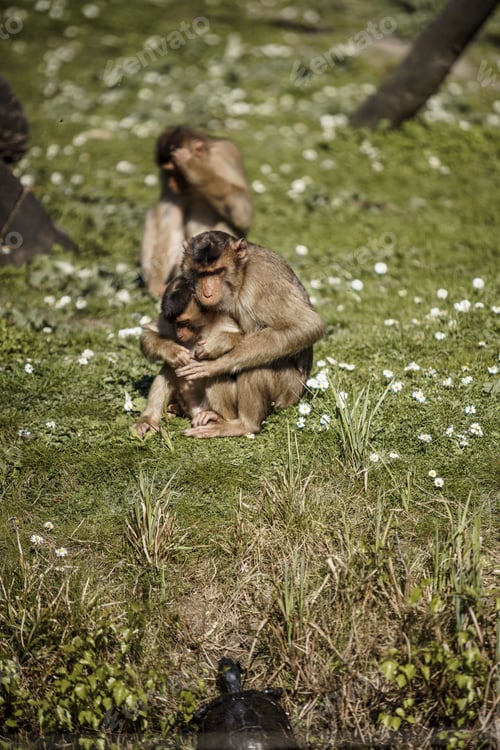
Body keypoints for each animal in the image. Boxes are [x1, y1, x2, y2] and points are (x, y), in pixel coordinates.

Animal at [134, 275, 242, 437]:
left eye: (184, 322)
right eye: (176, 324)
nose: (179, 334)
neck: (204, 325)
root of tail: (195, 409)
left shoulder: (226, 316)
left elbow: (245, 337)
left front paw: (214, 345)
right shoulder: (165, 319)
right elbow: (148, 333)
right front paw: (174, 352)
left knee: (218, 373)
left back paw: (218, 418)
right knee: (169, 369)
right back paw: (149, 420)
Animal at [140, 126, 252, 298]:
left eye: (177, 173)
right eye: (168, 173)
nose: (172, 183)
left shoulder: (226, 154)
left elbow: (242, 212)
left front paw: (191, 165)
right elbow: (171, 222)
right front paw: (156, 284)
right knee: (153, 214)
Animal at [173, 231, 326, 438]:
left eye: (217, 271)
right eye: (201, 273)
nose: (207, 293)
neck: (241, 279)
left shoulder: (264, 279)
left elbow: (307, 324)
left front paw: (217, 359)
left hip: (288, 392)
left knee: (254, 364)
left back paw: (245, 425)